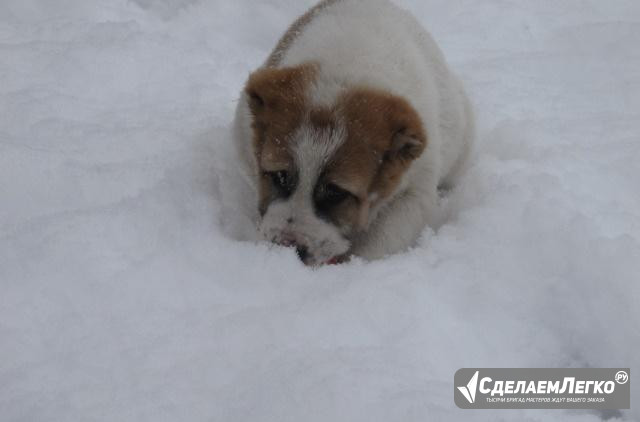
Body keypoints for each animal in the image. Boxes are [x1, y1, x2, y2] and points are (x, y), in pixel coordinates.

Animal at [232, 0, 472, 266]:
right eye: (280, 176)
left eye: (336, 193)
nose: (289, 247)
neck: (345, 74)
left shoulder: (415, 191)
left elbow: (379, 243)